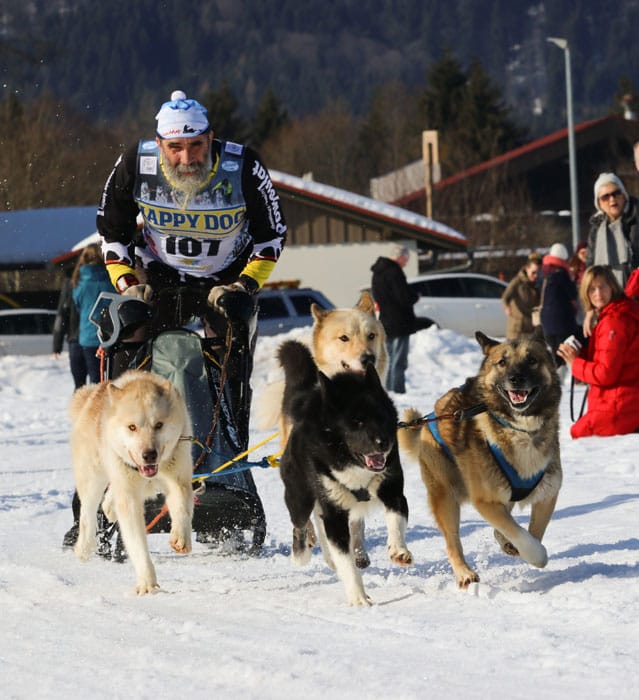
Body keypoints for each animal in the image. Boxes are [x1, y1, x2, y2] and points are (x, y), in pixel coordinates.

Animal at [70, 370, 194, 592]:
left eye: (159, 425)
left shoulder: (179, 480)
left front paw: (180, 536)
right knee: (87, 513)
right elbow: (137, 543)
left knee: (110, 498)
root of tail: (92, 394)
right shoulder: (129, 497)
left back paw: (109, 508)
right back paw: (84, 548)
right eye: (132, 427)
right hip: (93, 478)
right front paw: (147, 583)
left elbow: (182, 508)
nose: (149, 455)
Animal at [280, 342, 416, 604]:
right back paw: (302, 552)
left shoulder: (393, 491)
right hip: (299, 496)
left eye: (381, 417)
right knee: (301, 524)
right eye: (356, 422)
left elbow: (395, 520)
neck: (354, 465)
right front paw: (359, 598)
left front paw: (398, 550)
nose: (383, 443)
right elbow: (346, 562)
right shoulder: (334, 513)